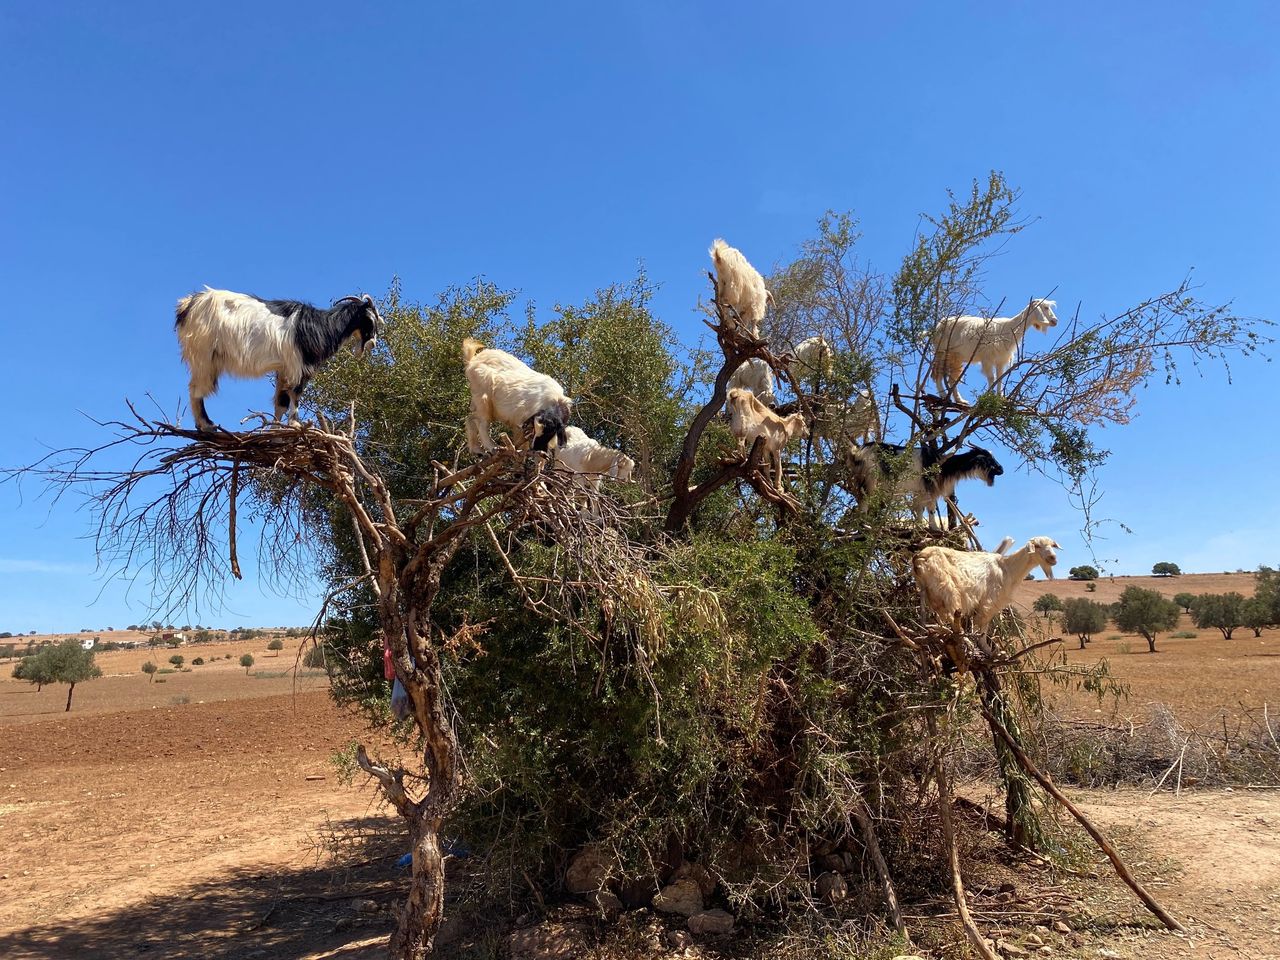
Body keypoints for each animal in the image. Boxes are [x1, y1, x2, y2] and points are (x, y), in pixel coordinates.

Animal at [174, 288, 378, 435]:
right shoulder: (297, 366)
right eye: (369, 319)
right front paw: (295, 424)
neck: (320, 326)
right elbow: (295, 395)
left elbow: (281, 402)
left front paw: (276, 431)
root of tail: (188, 304)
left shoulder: (284, 368)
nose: (372, 344)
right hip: (204, 355)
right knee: (196, 389)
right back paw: (206, 425)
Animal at [916, 542, 1064, 640]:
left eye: (1052, 545)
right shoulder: (988, 602)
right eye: (1037, 546)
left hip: (930, 592)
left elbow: (982, 628)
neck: (1007, 567)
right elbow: (981, 627)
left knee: (933, 616)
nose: (1053, 558)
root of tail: (919, 558)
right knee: (951, 618)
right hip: (947, 590)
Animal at [931, 300, 1059, 407]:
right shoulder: (987, 359)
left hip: (955, 356)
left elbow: (1000, 378)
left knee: (951, 378)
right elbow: (991, 378)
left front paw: (999, 399)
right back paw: (944, 396)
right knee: (938, 374)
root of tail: (939, 325)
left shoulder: (1000, 360)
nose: (1055, 321)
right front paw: (989, 399)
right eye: (1045, 307)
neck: (1010, 328)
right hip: (942, 352)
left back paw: (960, 400)